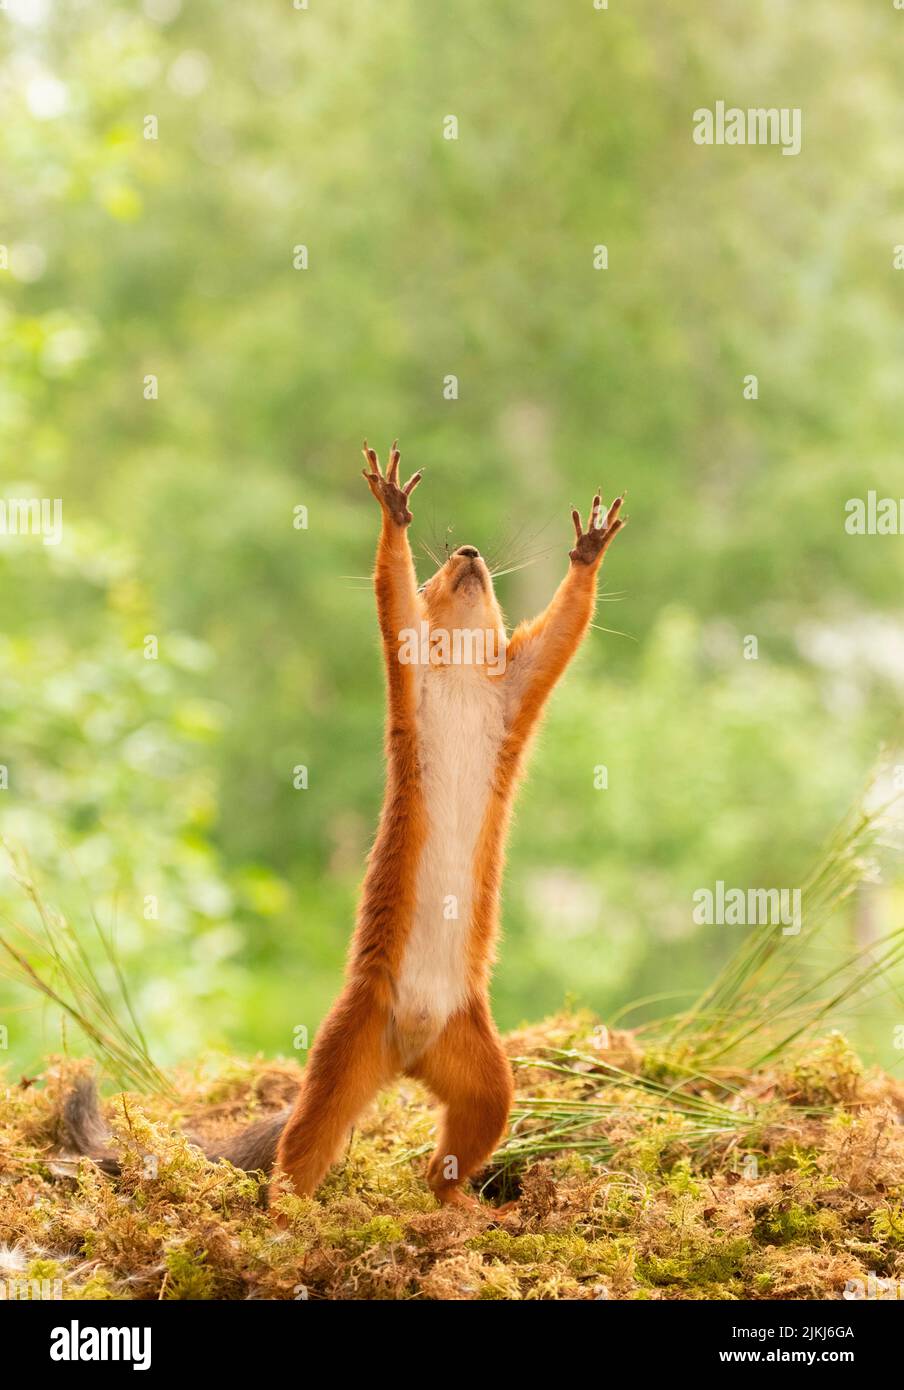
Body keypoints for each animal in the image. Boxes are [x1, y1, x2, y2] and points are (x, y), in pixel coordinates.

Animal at [273, 444, 625, 1206]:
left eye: (484, 576)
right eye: (437, 573)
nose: (467, 552)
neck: (463, 677)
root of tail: (410, 1050)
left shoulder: (519, 687)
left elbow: (564, 629)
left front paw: (588, 547)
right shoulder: (409, 665)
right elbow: (390, 591)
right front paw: (394, 506)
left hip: (480, 1062)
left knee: (467, 1132)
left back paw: (458, 1205)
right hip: (350, 1038)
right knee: (309, 1136)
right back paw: (284, 1209)